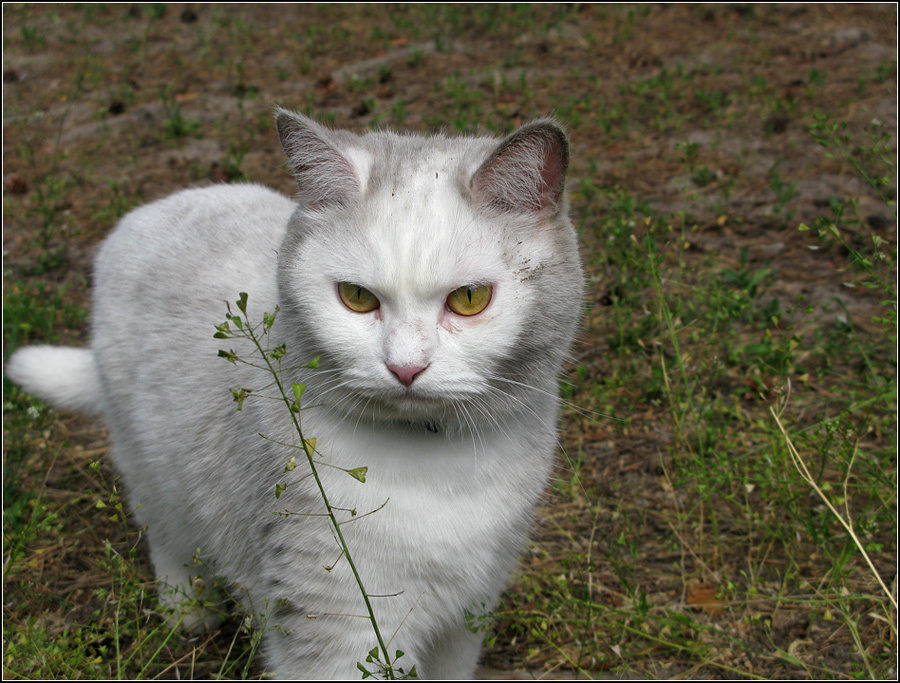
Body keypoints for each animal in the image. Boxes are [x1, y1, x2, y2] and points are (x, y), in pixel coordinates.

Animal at [8, 111, 584, 680]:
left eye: (469, 299)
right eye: (357, 298)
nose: (405, 367)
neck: (438, 467)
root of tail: (156, 207)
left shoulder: (464, 619)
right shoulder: (338, 628)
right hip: (148, 464)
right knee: (165, 530)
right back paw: (189, 608)